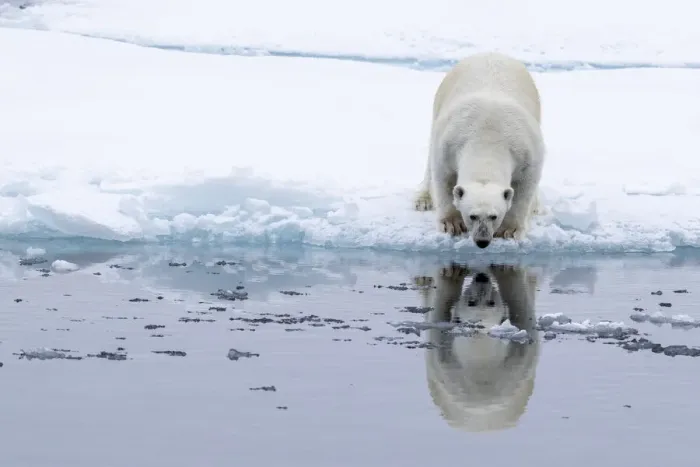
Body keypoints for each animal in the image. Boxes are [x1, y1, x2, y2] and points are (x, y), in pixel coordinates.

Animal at [413, 263, 541, 432]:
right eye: (471, 302)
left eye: (491, 302)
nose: (481, 277)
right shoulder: (445, 363)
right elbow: (436, 321)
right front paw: (452, 272)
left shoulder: (517, 362)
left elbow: (526, 319)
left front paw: (506, 269)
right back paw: (422, 279)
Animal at [414, 52, 545, 248]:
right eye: (472, 216)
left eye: (494, 216)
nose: (482, 241)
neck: (487, 140)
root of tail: (490, 53)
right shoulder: (449, 143)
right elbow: (443, 178)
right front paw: (451, 223)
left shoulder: (527, 150)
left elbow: (525, 187)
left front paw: (509, 230)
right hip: (439, 103)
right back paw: (422, 200)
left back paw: (536, 207)